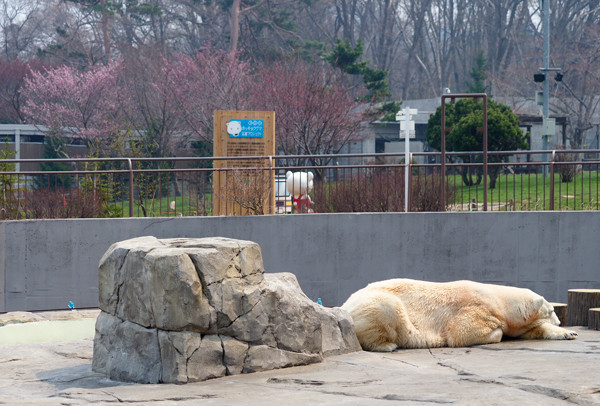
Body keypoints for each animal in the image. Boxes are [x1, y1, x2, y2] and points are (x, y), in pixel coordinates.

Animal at [340, 280, 580, 352]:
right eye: (552, 310)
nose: (560, 319)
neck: (498, 299)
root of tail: (346, 303)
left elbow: (530, 330)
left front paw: (569, 333)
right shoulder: (475, 308)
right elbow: (462, 332)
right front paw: (497, 332)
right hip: (377, 304)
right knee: (386, 310)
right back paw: (387, 345)